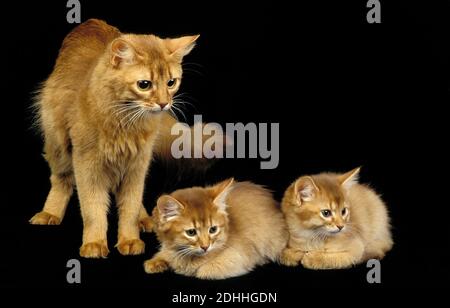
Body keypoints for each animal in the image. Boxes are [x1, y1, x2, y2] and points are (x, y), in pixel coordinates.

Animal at [30, 19, 200, 258]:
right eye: (144, 84)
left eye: (171, 82)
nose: (163, 103)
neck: (125, 122)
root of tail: (91, 22)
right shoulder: (86, 164)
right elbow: (93, 209)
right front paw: (94, 244)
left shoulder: (138, 165)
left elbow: (130, 206)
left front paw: (130, 239)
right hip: (58, 143)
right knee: (61, 180)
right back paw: (49, 213)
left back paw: (145, 219)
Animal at [144, 178, 288, 280]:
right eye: (191, 232)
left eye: (213, 229)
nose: (205, 247)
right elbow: (157, 258)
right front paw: (155, 262)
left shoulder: (238, 257)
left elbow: (203, 271)